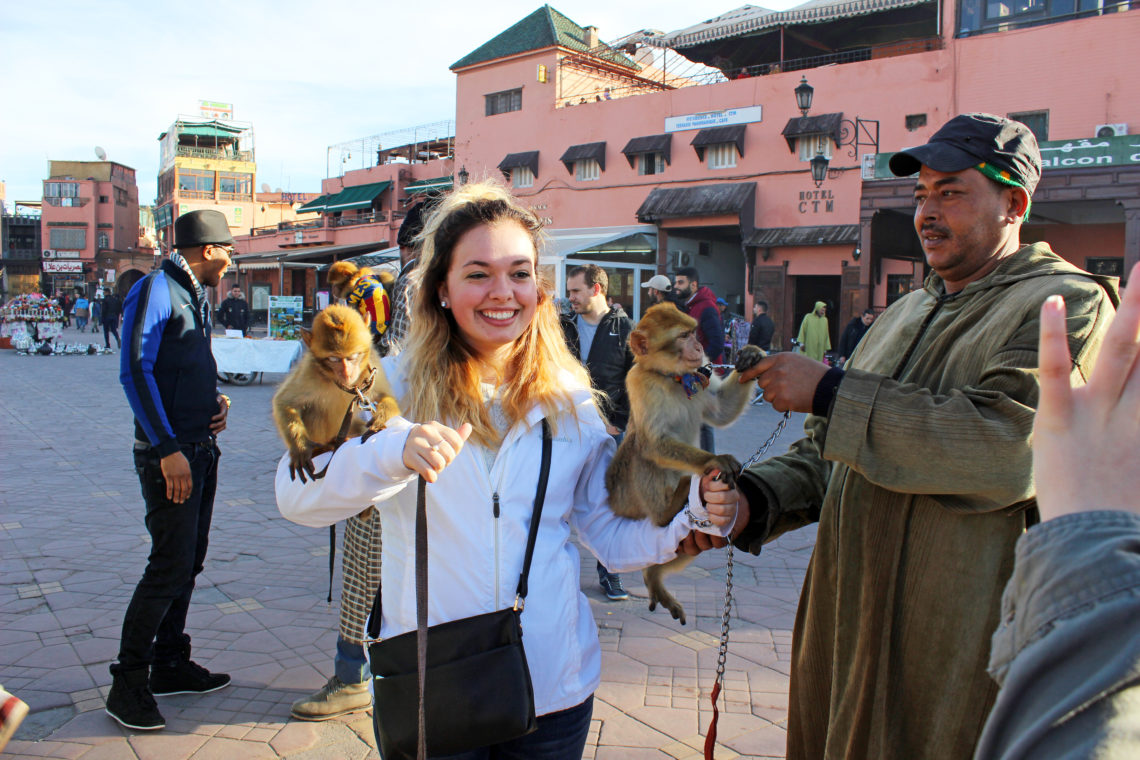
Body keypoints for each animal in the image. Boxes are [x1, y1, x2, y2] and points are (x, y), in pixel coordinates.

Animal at [272, 303, 401, 480]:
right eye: (333, 359)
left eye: (353, 356)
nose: (346, 373)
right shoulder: (309, 372)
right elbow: (284, 402)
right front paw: (301, 448)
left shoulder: (373, 366)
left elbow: (384, 396)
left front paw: (380, 417)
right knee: (314, 412)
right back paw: (328, 445)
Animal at [611, 303, 761, 624]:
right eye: (682, 336)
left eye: (693, 332)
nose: (700, 346)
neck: (672, 378)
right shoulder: (640, 382)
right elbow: (653, 444)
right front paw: (715, 459)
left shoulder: (700, 372)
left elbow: (720, 410)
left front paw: (753, 356)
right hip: (625, 498)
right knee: (641, 450)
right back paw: (665, 512)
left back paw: (653, 575)